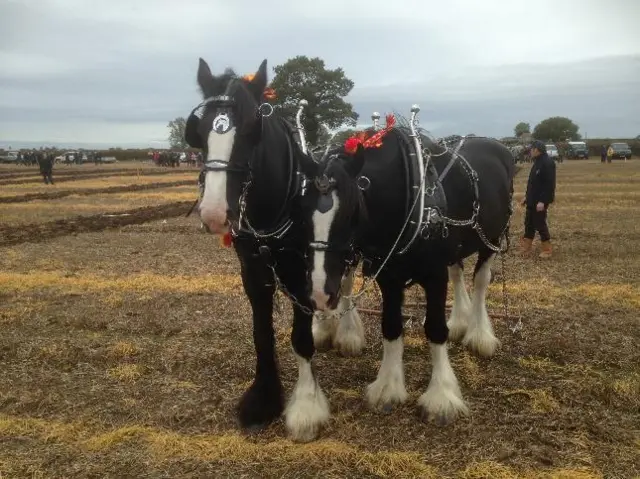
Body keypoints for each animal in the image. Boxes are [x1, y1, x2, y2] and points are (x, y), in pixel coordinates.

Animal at [184, 58, 360, 444]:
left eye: (253, 127)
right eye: (199, 129)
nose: (215, 213)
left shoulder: (297, 272)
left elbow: (299, 338)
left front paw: (306, 407)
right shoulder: (253, 270)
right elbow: (261, 334)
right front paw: (262, 400)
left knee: (344, 282)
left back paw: (344, 329)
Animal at [300, 123, 516, 424]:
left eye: (352, 212)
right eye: (301, 209)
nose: (320, 292)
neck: (409, 195)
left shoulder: (435, 275)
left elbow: (435, 329)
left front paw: (441, 396)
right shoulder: (389, 277)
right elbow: (391, 326)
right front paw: (388, 388)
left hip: (491, 240)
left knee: (481, 281)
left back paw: (479, 335)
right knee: (458, 274)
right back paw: (460, 323)